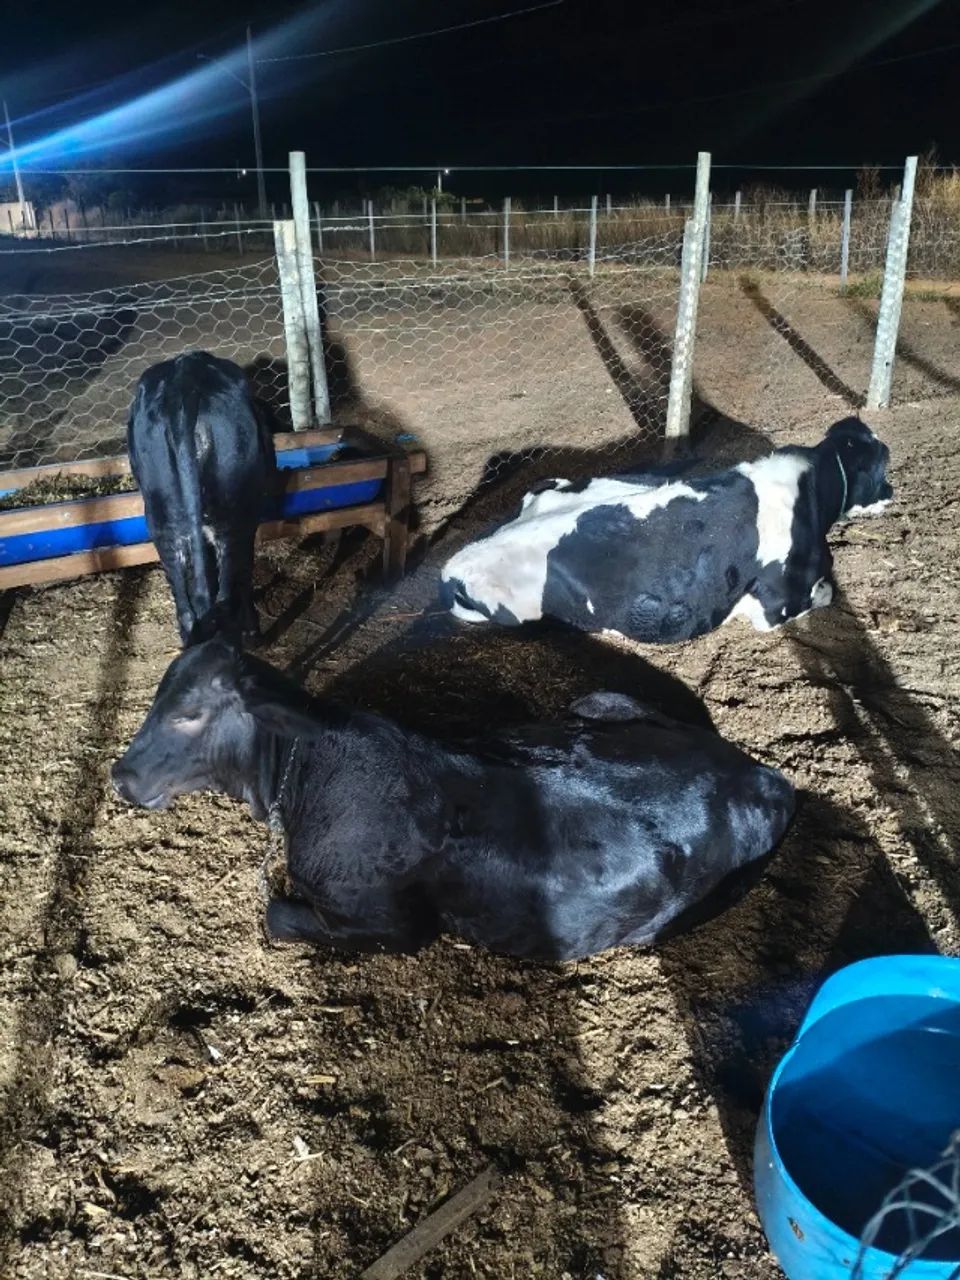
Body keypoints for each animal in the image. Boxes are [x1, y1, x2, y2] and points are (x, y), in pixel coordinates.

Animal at [110, 638, 795, 962]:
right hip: (598, 699)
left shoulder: (398, 928)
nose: (120, 775)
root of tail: (766, 778)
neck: (308, 773)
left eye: (190, 714)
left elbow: (275, 915)